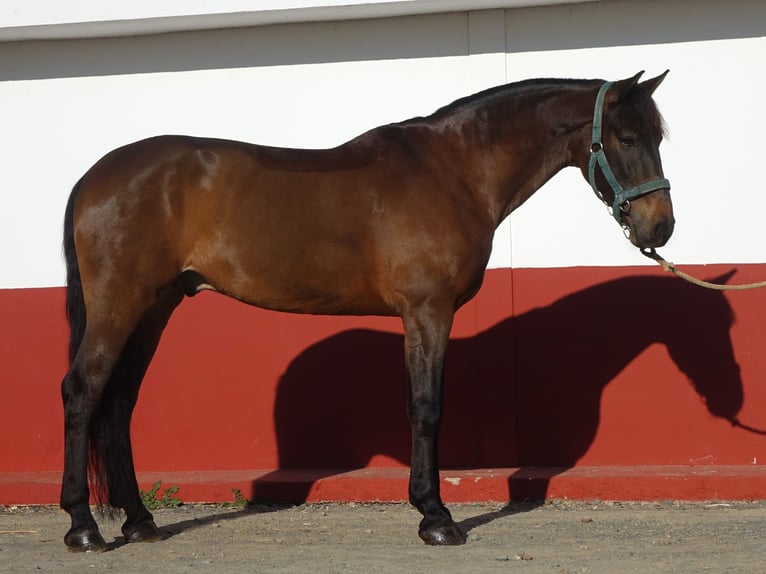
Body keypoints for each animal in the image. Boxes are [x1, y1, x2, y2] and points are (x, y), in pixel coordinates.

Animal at [58, 71, 672, 552]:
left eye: (659, 136)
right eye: (626, 136)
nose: (660, 227)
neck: (455, 171)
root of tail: (92, 177)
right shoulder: (428, 312)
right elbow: (426, 408)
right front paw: (436, 518)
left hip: (153, 308)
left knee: (118, 403)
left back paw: (140, 522)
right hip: (120, 305)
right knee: (82, 393)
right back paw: (83, 527)